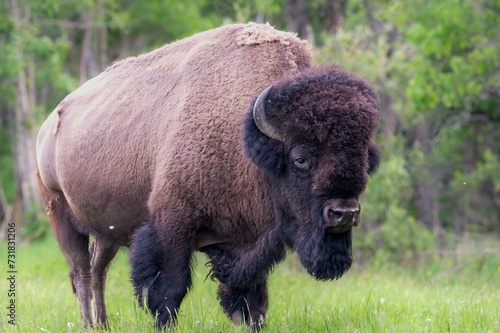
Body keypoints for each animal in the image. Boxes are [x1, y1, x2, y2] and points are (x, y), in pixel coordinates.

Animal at [36, 23, 378, 330]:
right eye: (301, 158)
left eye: (364, 160)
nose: (344, 213)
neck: (244, 138)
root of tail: (49, 121)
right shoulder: (173, 224)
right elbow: (170, 289)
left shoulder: (244, 243)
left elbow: (251, 298)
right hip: (61, 214)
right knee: (81, 270)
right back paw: (87, 323)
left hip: (105, 230)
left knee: (98, 270)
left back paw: (103, 324)